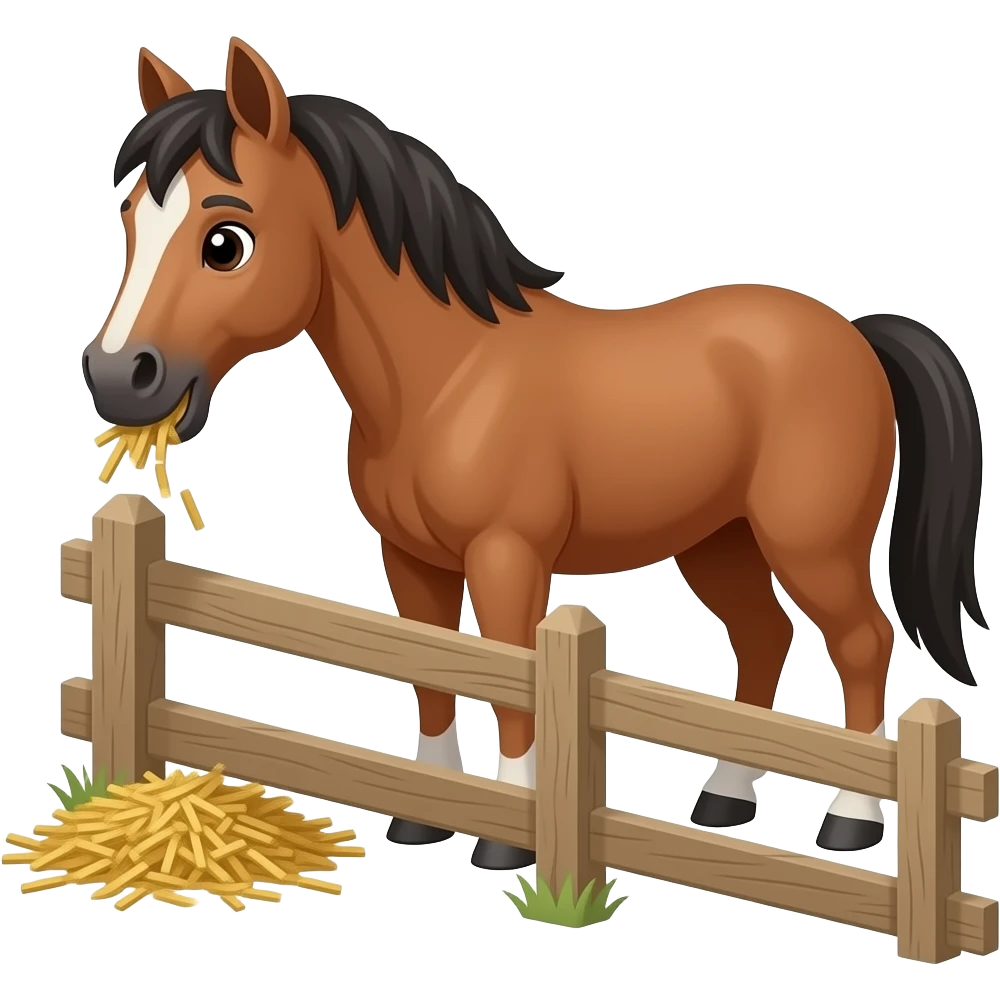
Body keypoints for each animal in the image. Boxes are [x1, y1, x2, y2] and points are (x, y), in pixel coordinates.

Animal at [83, 38, 987, 872]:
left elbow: (511, 680)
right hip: (718, 542)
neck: (449, 379)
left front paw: (507, 841)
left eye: (225, 241)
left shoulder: (507, 558)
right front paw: (423, 818)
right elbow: (436, 674)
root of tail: (855, 335)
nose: (120, 377)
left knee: (862, 642)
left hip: (811, 544)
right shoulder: (411, 560)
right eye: (126, 224)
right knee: (764, 638)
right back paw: (723, 803)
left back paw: (850, 824)